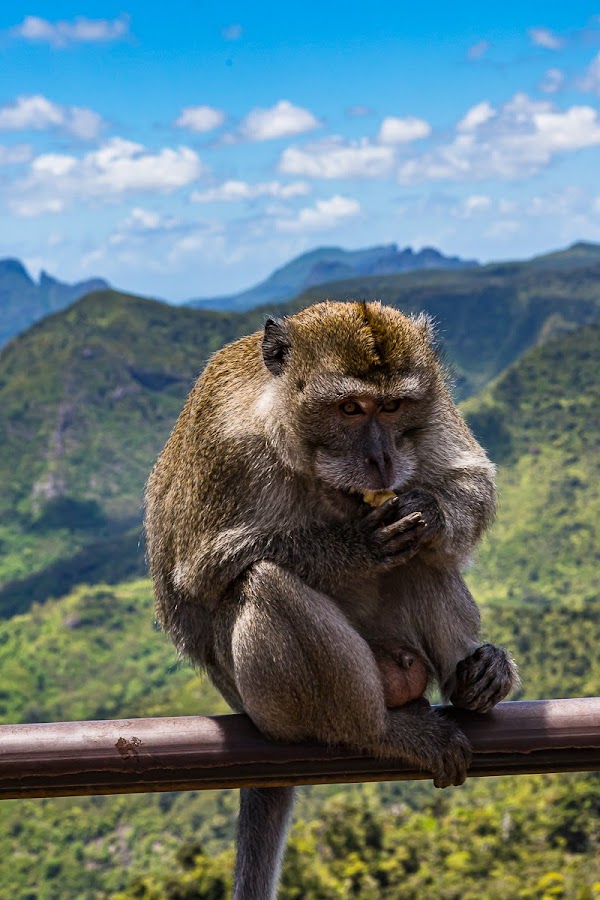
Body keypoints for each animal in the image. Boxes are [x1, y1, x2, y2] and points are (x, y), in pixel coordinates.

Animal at [144, 300, 516, 900]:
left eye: (391, 407)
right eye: (348, 408)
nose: (383, 459)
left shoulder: (432, 408)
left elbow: (470, 483)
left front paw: (429, 511)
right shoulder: (226, 444)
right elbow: (202, 568)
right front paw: (356, 545)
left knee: (423, 559)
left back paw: (476, 678)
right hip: (264, 703)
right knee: (264, 583)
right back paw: (381, 731)